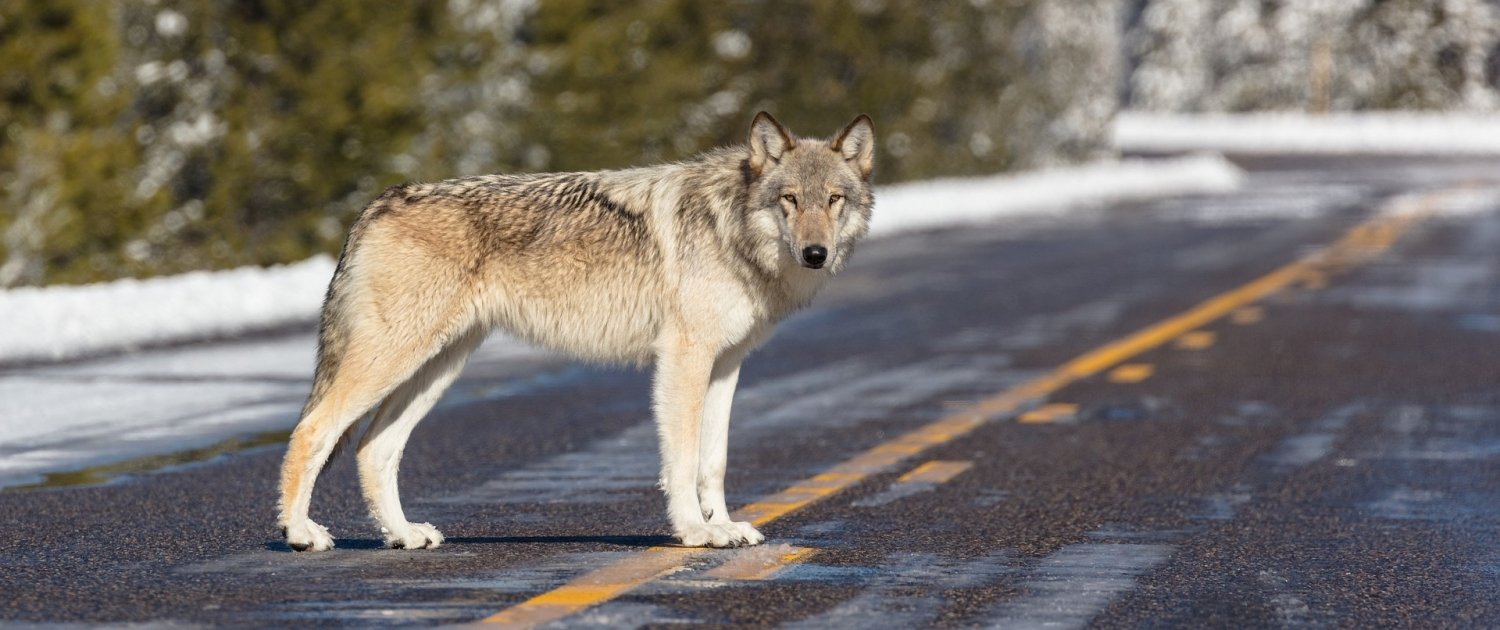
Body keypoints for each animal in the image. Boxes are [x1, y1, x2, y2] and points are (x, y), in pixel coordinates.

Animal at [276, 111, 876, 552]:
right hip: (395, 361)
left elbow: (715, 460)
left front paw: (723, 526)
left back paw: (403, 535)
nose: (816, 253)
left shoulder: (726, 364)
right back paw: (301, 534)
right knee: (312, 430)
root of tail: (379, 202)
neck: (731, 228)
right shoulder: (684, 359)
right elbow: (682, 460)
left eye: (833, 200)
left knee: (373, 448)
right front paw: (695, 532)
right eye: (790, 199)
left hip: (437, 368)